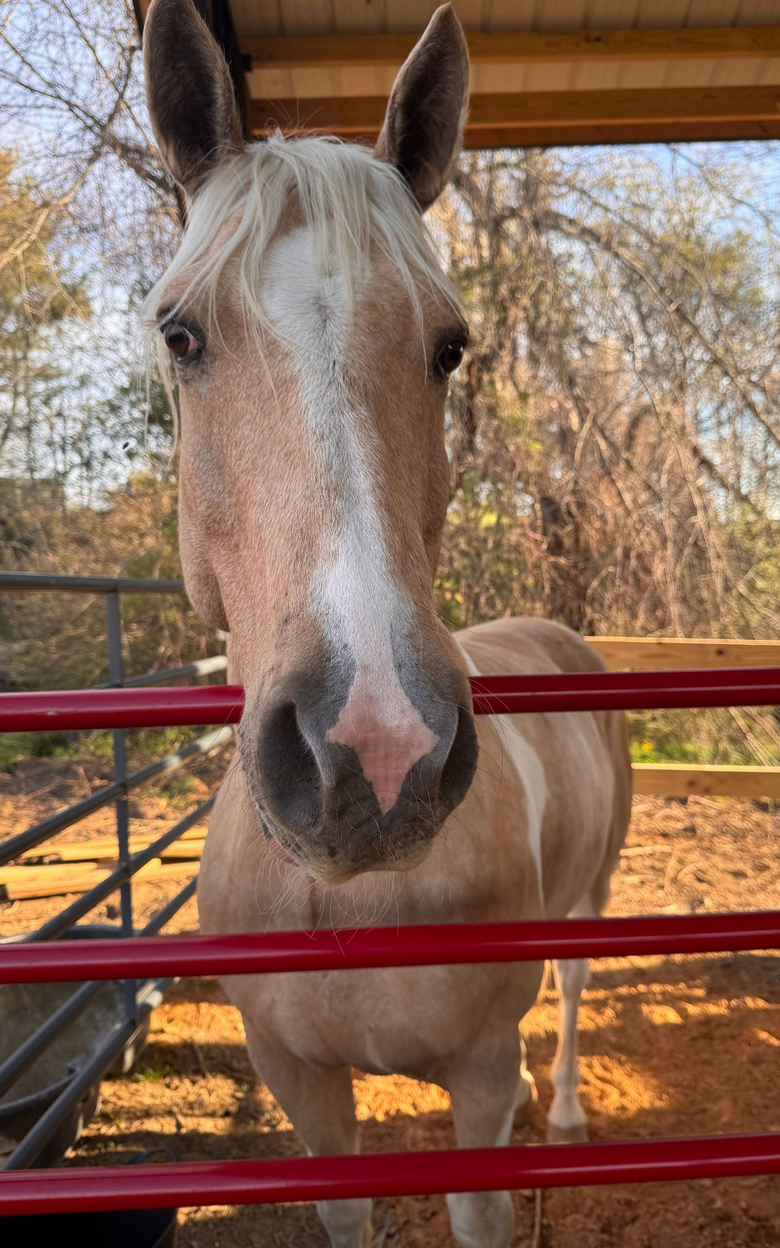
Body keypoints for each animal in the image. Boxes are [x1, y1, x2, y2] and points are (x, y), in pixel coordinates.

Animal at [142, 3, 632, 1245]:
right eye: (180, 334)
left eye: (450, 345)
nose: (375, 748)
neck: (350, 903)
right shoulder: (303, 1091)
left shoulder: (477, 1079)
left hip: (594, 896)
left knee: (574, 988)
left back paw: (568, 1114)